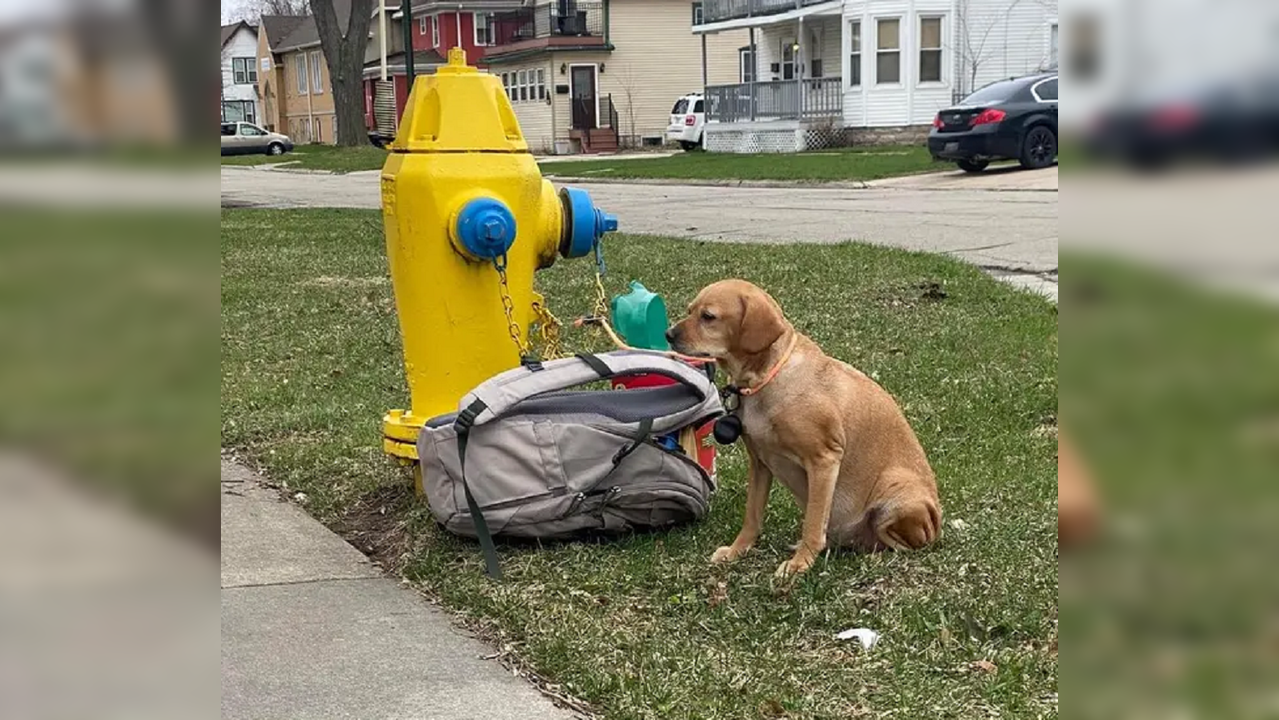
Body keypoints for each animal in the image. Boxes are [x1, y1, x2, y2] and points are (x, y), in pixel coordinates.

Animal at [670, 280, 941, 580]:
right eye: (690, 310)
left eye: (708, 316)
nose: (668, 334)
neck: (765, 379)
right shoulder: (760, 463)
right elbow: (752, 516)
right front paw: (736, 551)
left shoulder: (824, 459)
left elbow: (812, 523)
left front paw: (800, 563)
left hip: (897, 493)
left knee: (902, 545)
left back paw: (874, 557)